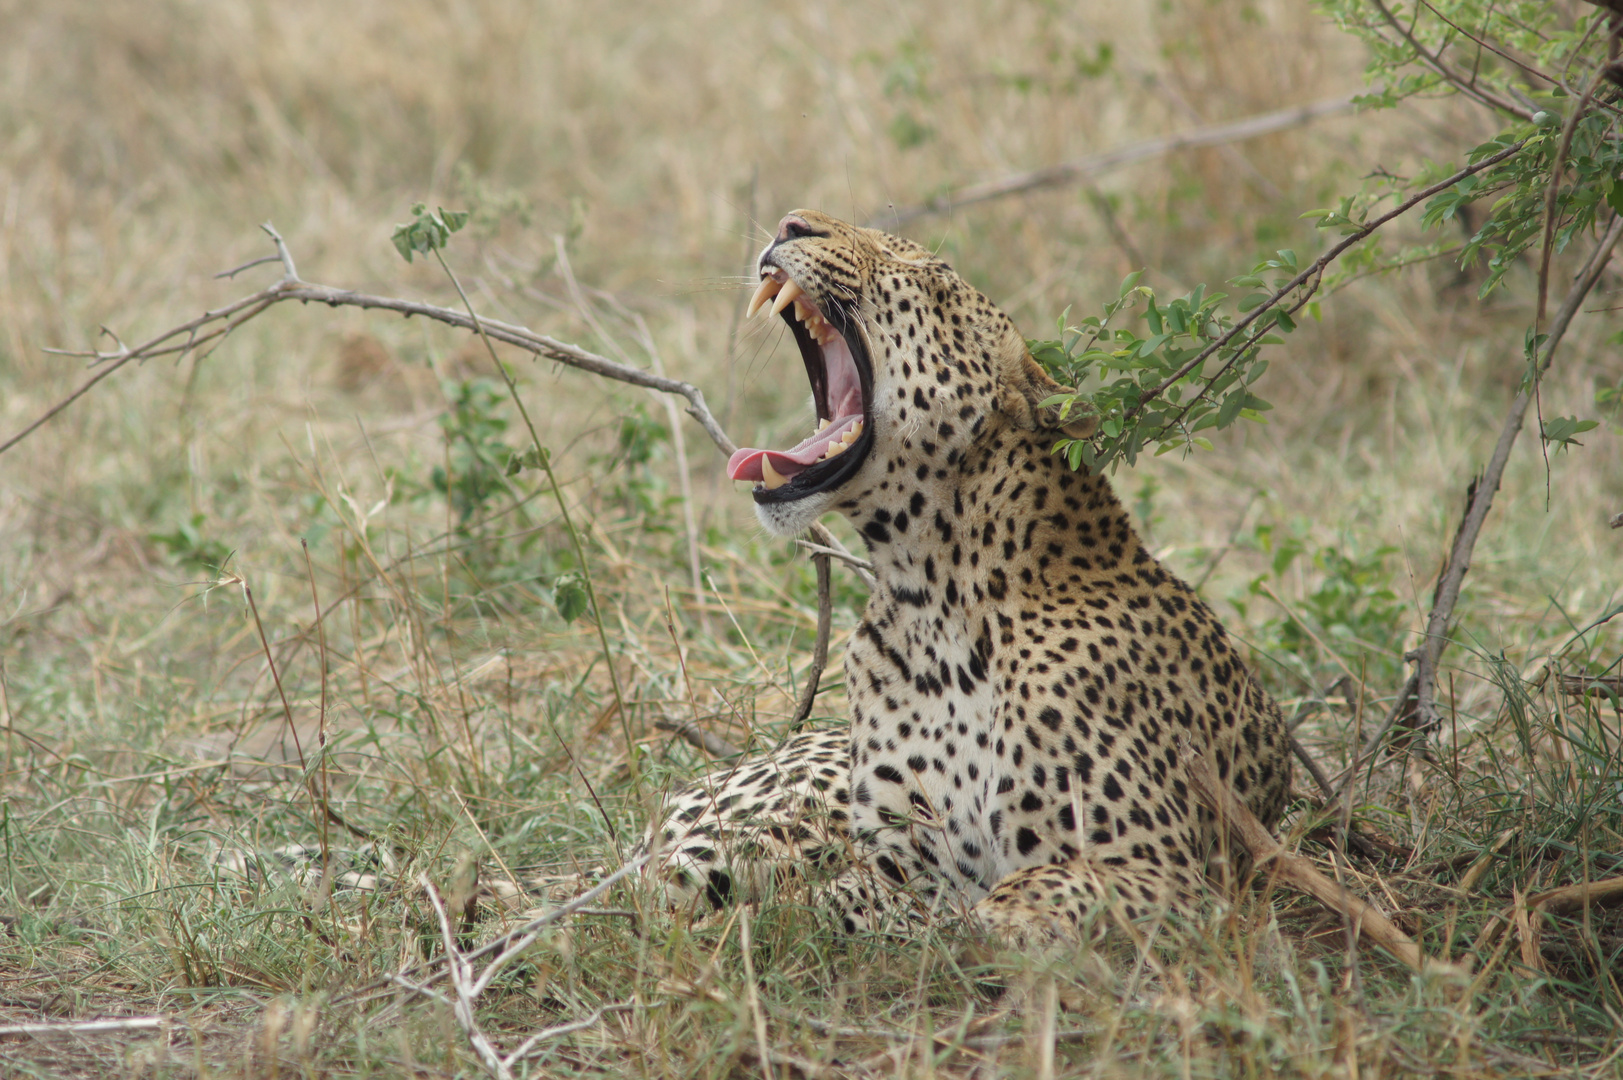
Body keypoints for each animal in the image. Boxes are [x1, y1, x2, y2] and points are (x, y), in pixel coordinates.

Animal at [639, 211, 1285, 941]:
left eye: (929, 273)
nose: (790, 223)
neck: (930, 600)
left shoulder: (1156, 866)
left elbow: (1012, 902)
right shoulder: (901, 865)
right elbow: (815, 913)